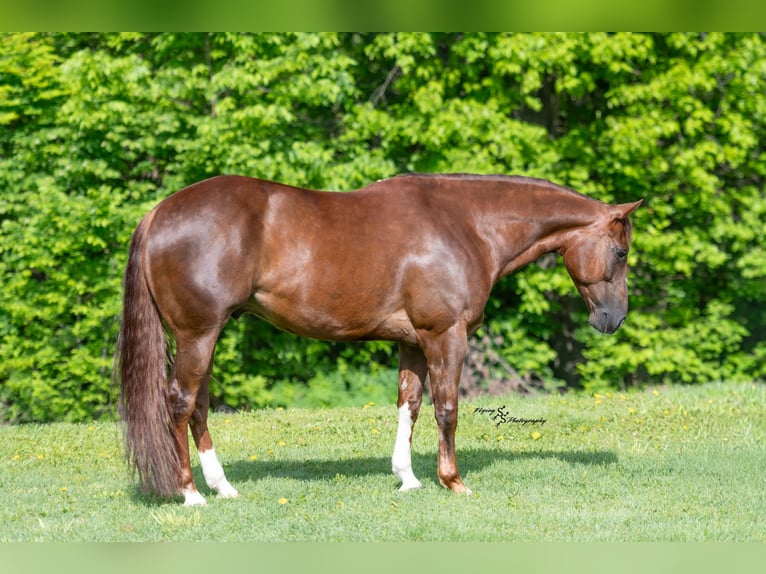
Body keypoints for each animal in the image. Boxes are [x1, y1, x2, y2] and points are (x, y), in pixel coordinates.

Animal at [115, 173, 641, 505]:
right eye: (620, 252)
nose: (614, 318)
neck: (466, 224)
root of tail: (159, 212)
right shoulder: (445, 336)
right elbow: (446, 408)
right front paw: (453, 482)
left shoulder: (412, 341)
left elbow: (409, 405)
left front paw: (408, 479)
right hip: (198, 334)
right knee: (180, 403)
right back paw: (190, 494)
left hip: (206, 336)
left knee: (199, 407)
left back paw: (221, 487)